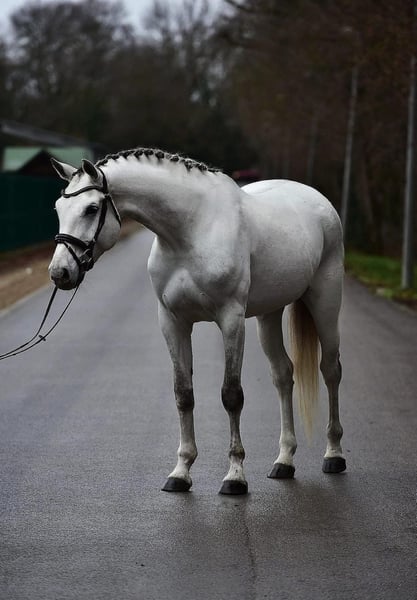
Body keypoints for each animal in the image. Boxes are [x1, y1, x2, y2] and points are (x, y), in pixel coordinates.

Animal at [48, 147, 346, 495]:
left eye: (91, 208)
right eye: (58, 208)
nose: (60, 273)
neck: (191, 229)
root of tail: (319, 201)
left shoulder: (231, 320)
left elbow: (231, 395)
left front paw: (235, 476)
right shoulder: (172, 322)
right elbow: (183, 394)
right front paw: (181, 472)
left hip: (325, 301)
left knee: (330, 370)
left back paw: (334, 455)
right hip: (269, 314)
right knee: (284, 374)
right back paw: (284, 461)